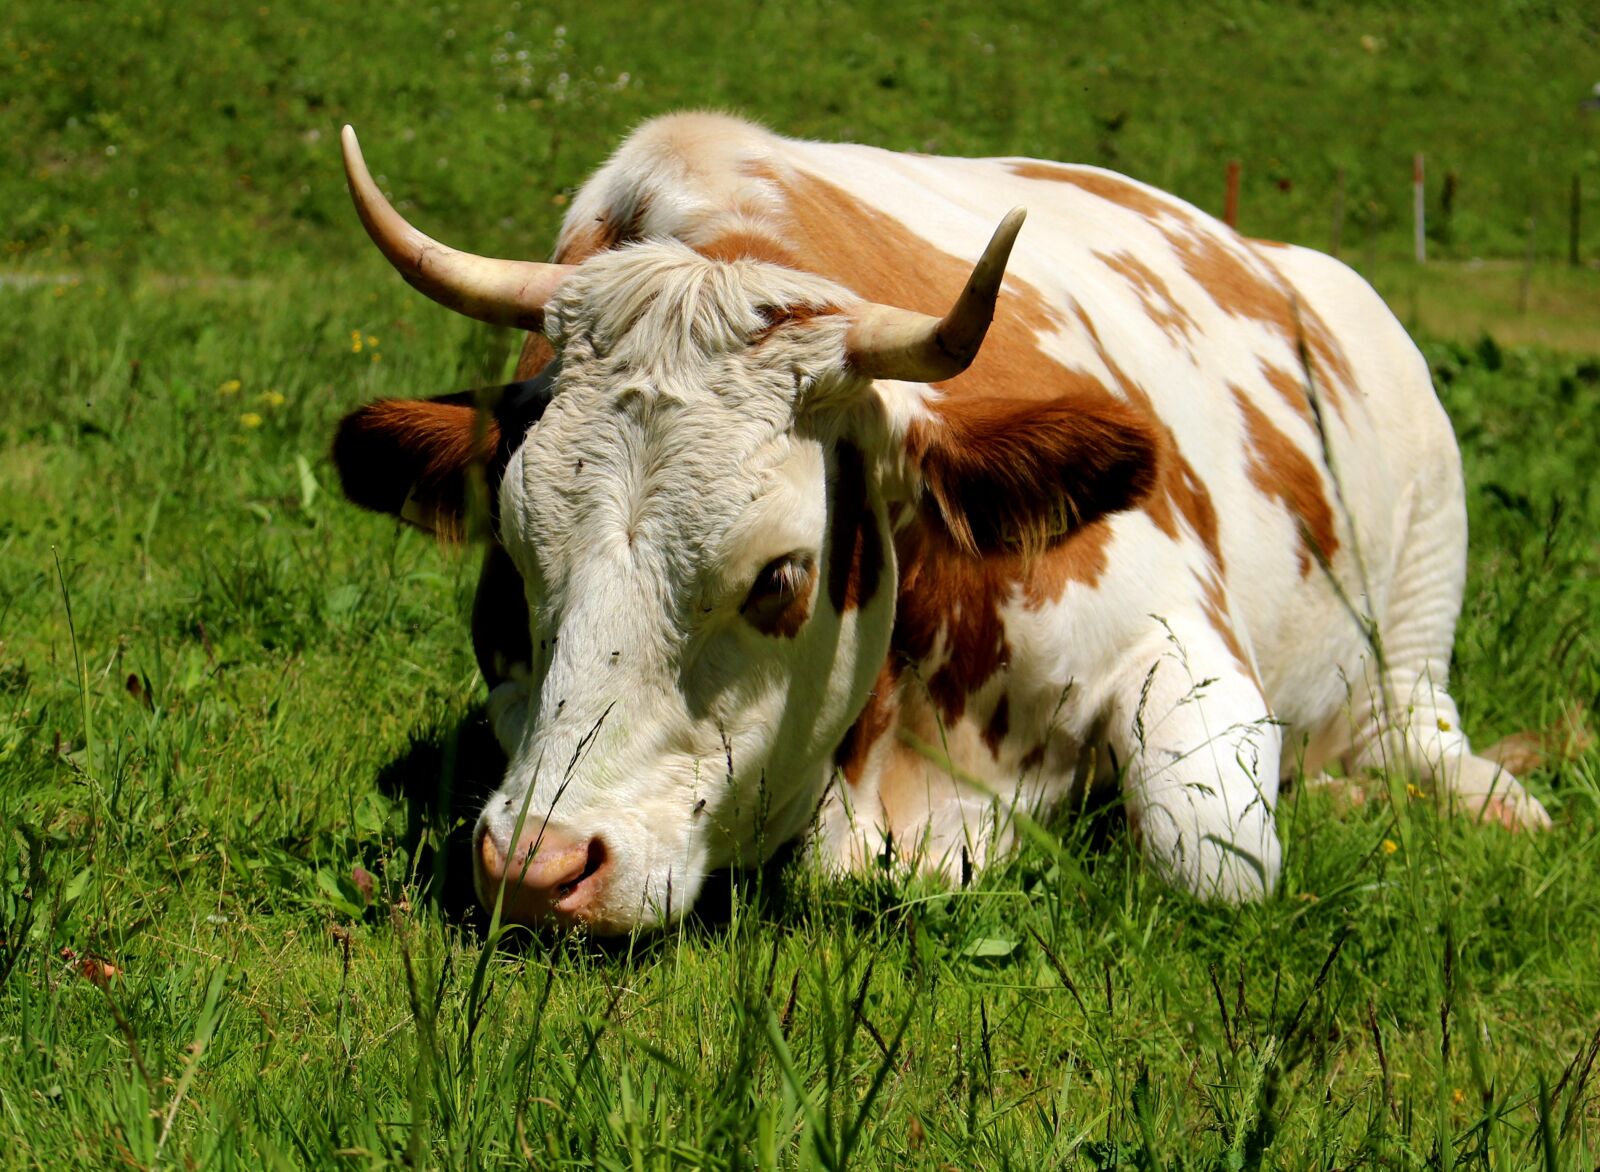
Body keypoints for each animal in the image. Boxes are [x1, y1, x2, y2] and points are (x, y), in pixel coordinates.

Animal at [331, 113, 1549, 933]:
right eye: (514, 557)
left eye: (779, 577)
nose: (537, 870)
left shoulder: (1178, 637)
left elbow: (1211, 855)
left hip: (1426, 549)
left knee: (1415, 723)